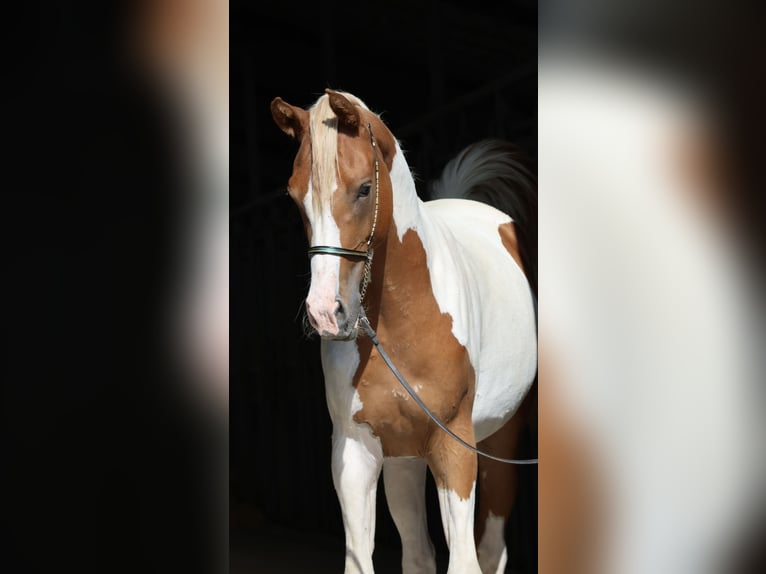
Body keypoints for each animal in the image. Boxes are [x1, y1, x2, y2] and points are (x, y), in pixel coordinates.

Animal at [272, 90, 536, 574]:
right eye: (295, 196)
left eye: (364, 188)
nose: (326, 313)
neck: (402, 323)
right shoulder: (355, 450)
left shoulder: (455, 448)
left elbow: (465, 561)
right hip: (404, 458)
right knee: (417, 552)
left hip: (499, 441)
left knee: (491, 549)